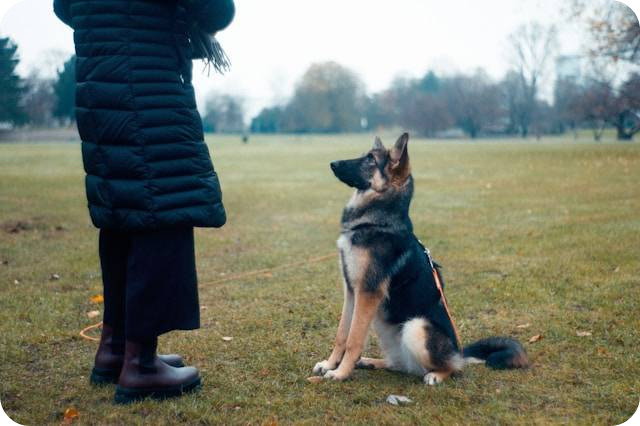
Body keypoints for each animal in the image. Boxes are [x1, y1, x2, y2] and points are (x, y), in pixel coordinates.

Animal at [312, 131, 528, 384]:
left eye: (370, 160)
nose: (332, 164)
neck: (377, 221)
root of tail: (458, 352)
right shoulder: (352, 291)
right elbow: (342, 335)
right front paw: (330, 364)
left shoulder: (367, 292)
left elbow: (353, 340)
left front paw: (340, 373)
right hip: (386, 328)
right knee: (399, 364)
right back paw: (370, 362)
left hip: (416, 327)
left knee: (453, 368)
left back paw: (436, 375)